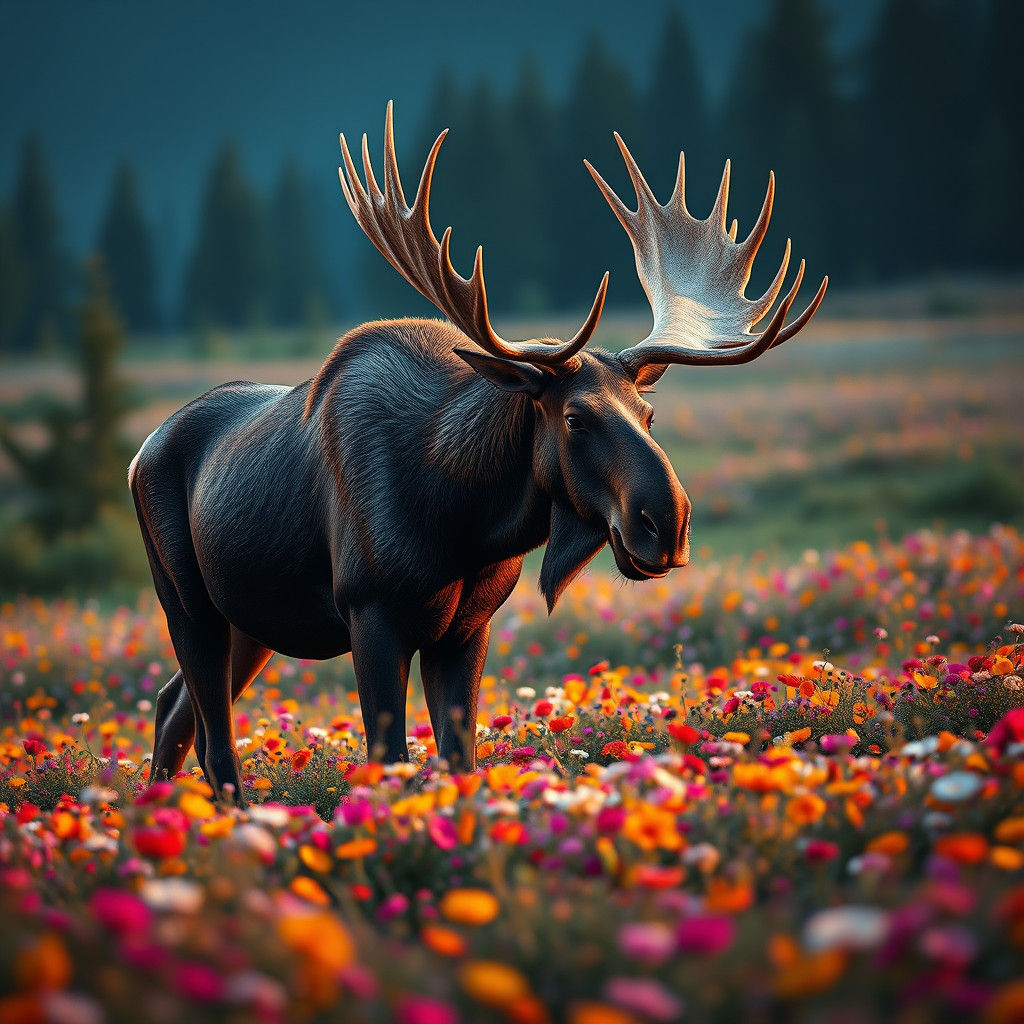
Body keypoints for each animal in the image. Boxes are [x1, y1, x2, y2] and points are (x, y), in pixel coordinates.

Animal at [130, 102, 827, 800]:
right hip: (186, 601)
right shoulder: (369, 613)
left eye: (649, 413)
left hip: (249, 621)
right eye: (574, 418)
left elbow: (459, 760)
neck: (462, 523)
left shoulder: (468, 626)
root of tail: (140, 453)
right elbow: (389, 757)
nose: (669, 524)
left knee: (173, 708)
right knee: (214, 737)